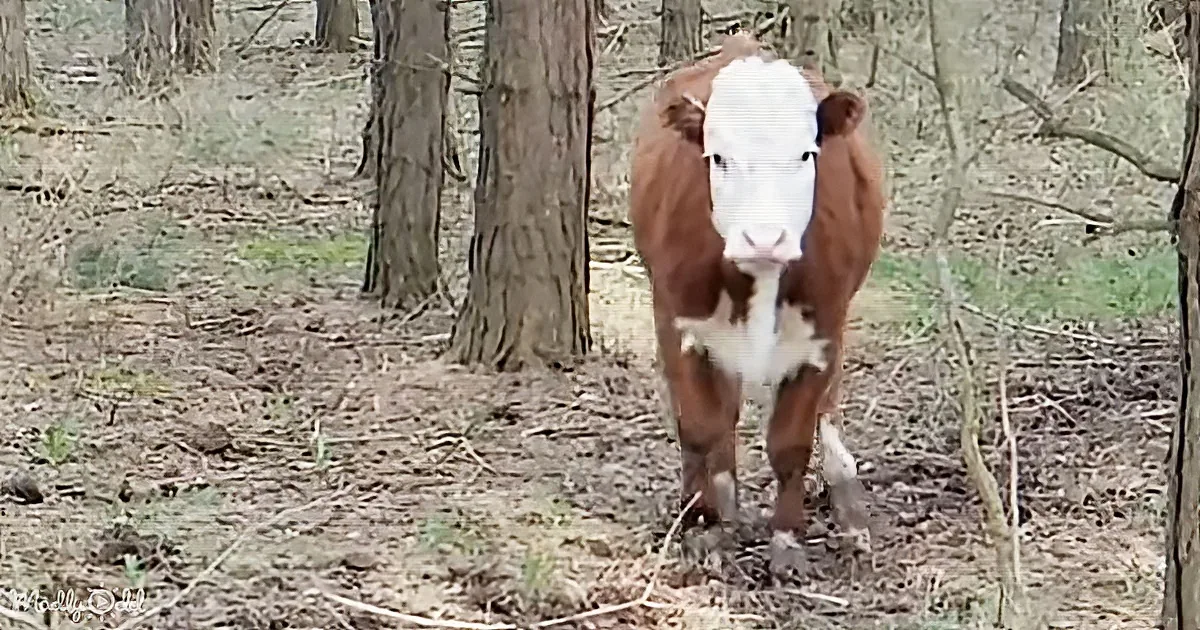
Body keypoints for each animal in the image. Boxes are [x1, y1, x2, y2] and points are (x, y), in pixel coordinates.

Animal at [629, 32, 886, 578]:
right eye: (717, 157)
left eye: (807, 154)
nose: (764, 239)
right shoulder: (679, 322)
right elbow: (700, 427)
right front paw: (705, 526)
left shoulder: (822, 329)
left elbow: (791, 442)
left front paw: (787, 540)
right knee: (712, 420)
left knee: (826, 407)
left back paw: (848, 505)